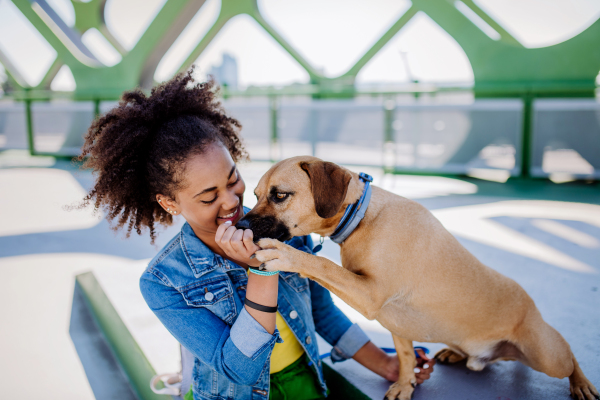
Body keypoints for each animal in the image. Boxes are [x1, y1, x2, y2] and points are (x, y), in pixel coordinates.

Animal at [237, 157, 596, 400]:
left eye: (280, 195)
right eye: (254, 195)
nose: (240, 225)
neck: (361, 217)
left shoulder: (370, 294)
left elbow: (322, 265)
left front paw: (287, 256)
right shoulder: (394, 321)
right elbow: (407, 356)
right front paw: (405, 383)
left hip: (548, 356)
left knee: (569, 356)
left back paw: (582, 383)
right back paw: (456, 354)